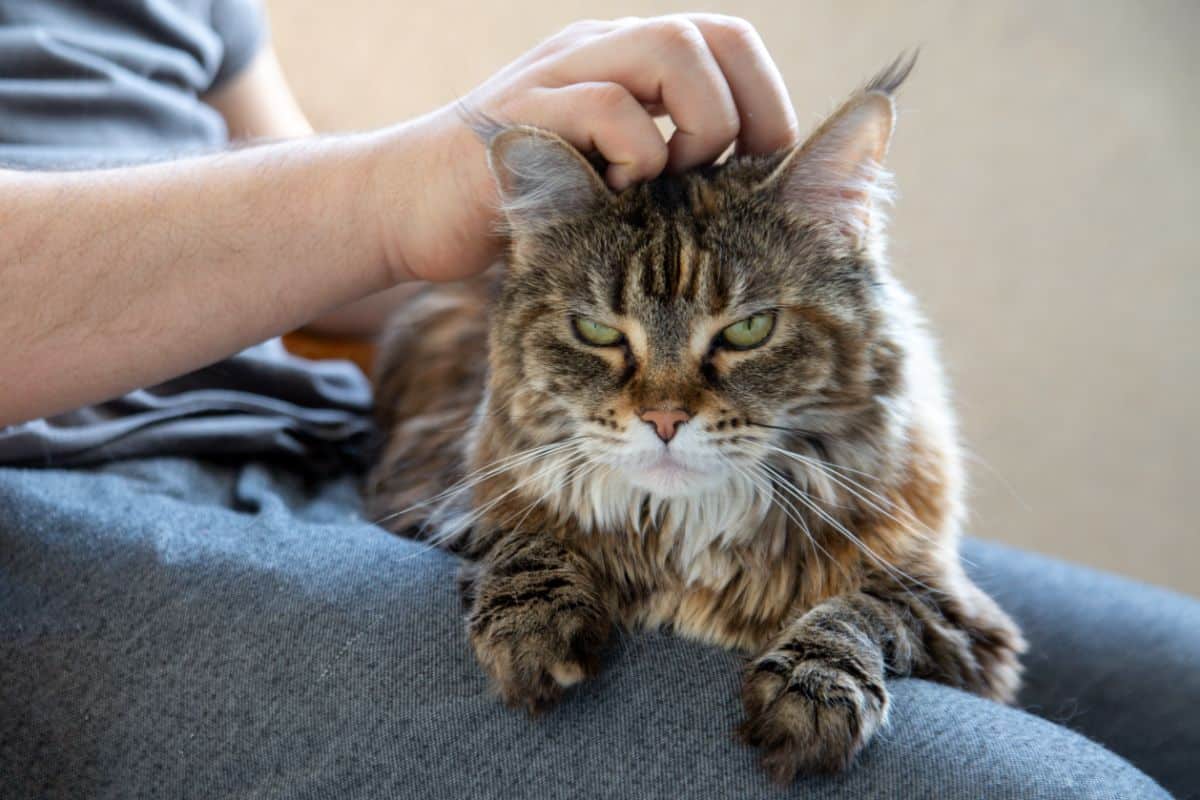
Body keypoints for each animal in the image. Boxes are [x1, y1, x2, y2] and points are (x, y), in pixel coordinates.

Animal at [362, 56, 1022, 782]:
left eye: (749, 330)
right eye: (597, 332)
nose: (664, 418)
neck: (686, 533)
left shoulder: (962, 621)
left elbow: (864, 607)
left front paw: (814, 686)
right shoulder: (442, 501)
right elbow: (525, 537)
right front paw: (532, 630)